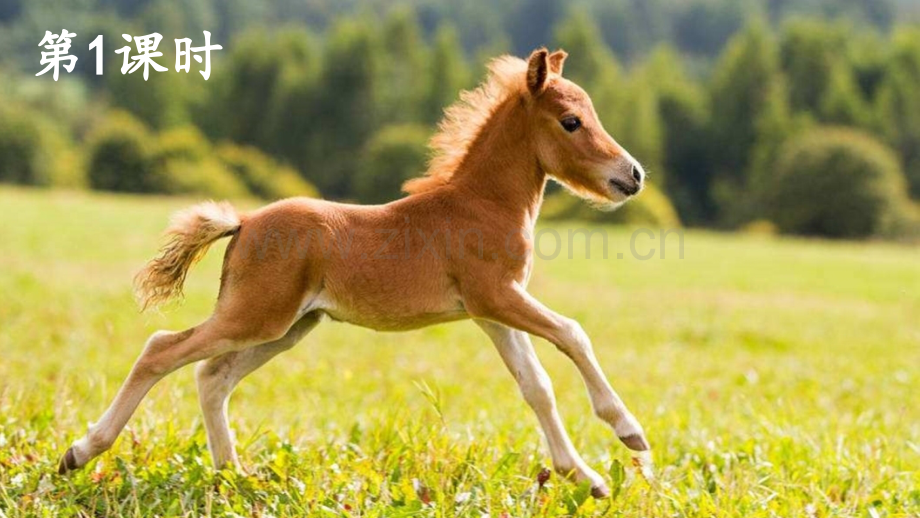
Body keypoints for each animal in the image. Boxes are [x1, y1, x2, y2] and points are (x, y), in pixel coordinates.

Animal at [58, 48, 650, 498]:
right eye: (571, 121)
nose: (634, 174)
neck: (481, 204)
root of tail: (244, 223)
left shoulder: (490, 311)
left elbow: (536, 386)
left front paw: (587, 478)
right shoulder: (497, 297)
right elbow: (573, 334)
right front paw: (630, 434)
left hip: (289, 326)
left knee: (212, 377)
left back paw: (235, 476)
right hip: (257, 315)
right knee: (161, 349)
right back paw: (80, 452)